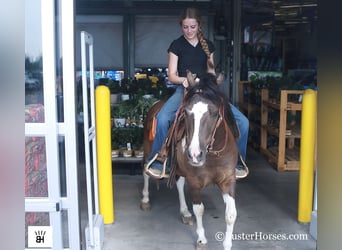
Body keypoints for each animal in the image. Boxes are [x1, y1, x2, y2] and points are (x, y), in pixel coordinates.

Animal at [141, 71, 238, 250]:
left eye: (215, 112)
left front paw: (227, 244)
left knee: (179, 183)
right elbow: (199, 210)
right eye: (186, 112)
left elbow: (230, 214)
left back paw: (185, 212)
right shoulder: (194, 181)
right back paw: (145, 200)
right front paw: (201, 240)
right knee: (145, 170)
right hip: (147, 150)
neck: (212, 155)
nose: (194, 154)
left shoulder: (228, 180)